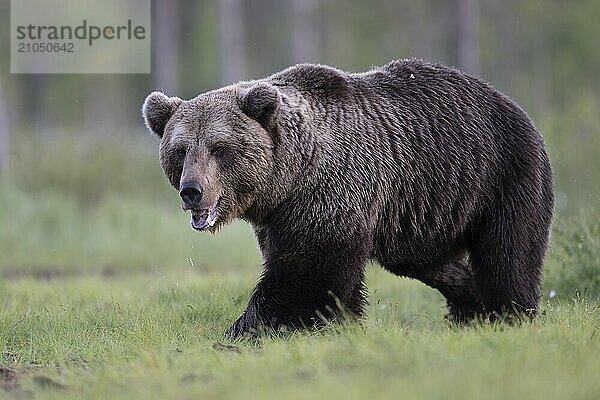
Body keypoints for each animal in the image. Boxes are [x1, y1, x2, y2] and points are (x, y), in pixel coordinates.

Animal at [143, 59, 556, 340]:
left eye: (219, 147)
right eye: (180, 150)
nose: (191, 190)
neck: (289, 177)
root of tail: (511, 103)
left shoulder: (330, 191)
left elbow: (309, 270)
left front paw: (245, 330)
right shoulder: (277, 217)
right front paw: (343, 322)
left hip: (502, 175)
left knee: (508, 252)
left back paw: (509, 312)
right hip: (424, 211)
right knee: (435, 263)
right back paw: (469, 308)